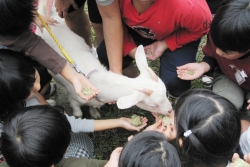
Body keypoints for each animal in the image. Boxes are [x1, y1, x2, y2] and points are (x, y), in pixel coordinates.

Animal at [35, 7, 172, 117]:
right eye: (153, 105)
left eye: (166, 93)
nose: (170, 110)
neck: (98, 82)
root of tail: (47, 19)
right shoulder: (74, 98)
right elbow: (77, 111)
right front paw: (79, 116)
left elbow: (92, 106)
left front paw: (94, 113)